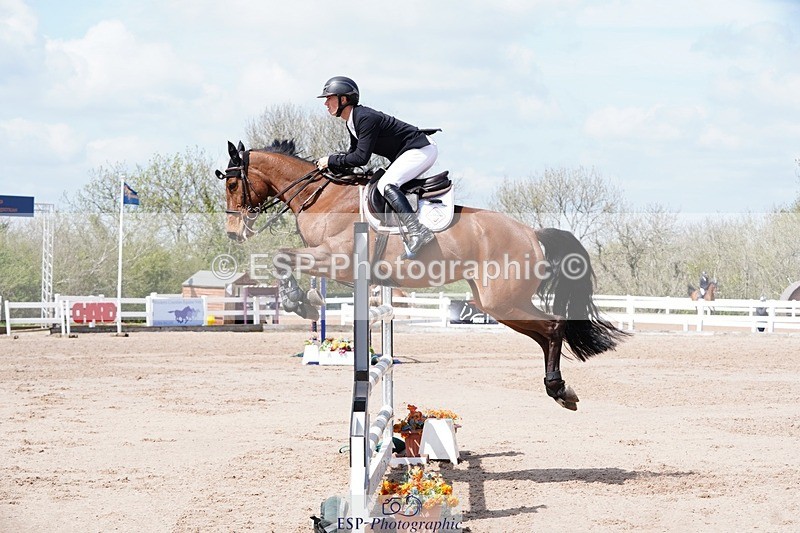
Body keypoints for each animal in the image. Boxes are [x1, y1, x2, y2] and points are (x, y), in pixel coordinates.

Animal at [218, 139, 627, 410]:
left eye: (232, 183)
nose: (233, 233)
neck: (325, 198)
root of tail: (532, 232)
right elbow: (284, 259)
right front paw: (302, 299)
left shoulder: (337, 258)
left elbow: (281, 257)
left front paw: (299, 301)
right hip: (495, 303)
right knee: (544, 333)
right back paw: (558, 388)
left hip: (502, 299)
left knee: (554, 327)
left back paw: (559, 389)